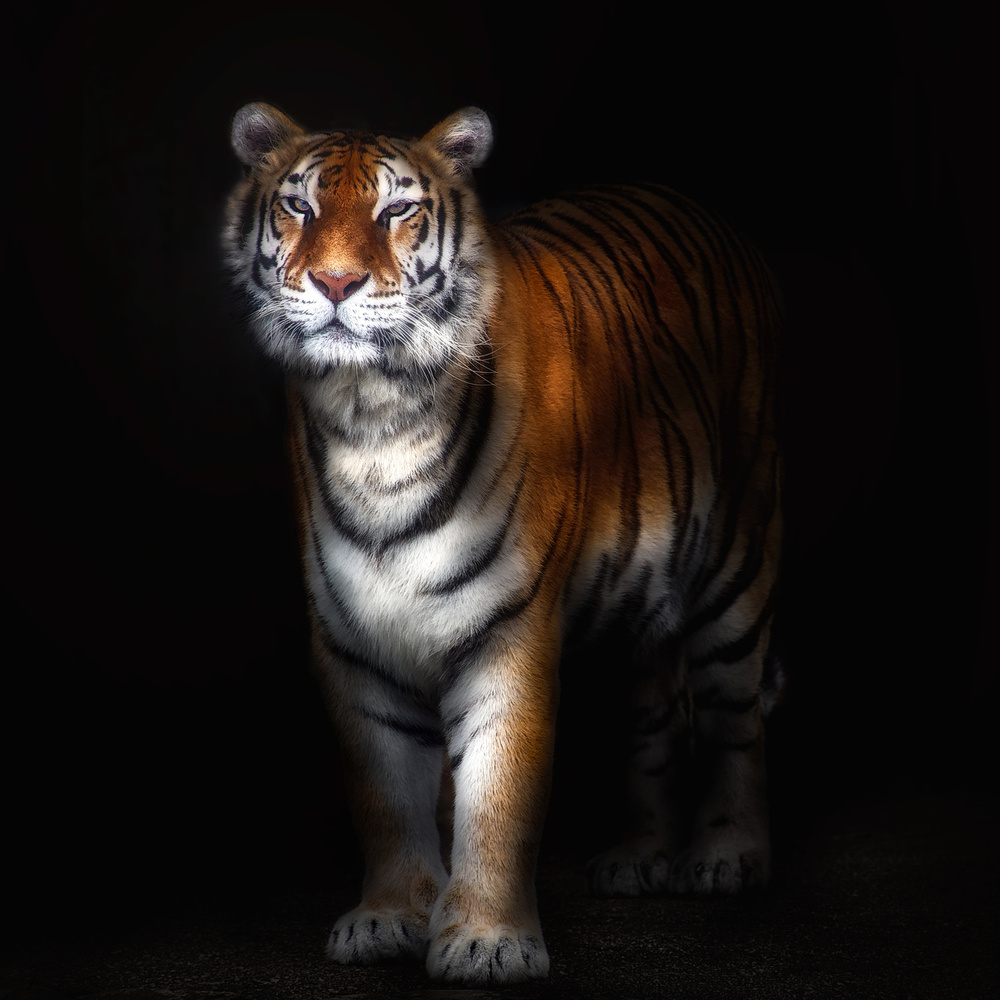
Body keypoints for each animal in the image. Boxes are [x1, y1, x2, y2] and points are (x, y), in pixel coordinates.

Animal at [223, 102, 783, 987]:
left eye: (397, 211)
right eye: (299, 208)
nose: (336, 284)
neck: (374, 419)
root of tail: (700, 208)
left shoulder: (508, 632)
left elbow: (499, 799)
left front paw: (488, 943)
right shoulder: (353, 644)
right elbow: (385, 797)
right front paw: (387, 919)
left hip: (737, 561)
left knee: (735, 718)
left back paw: (727, 857)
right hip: (642, 604)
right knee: (656, 714)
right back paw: (639, 857)